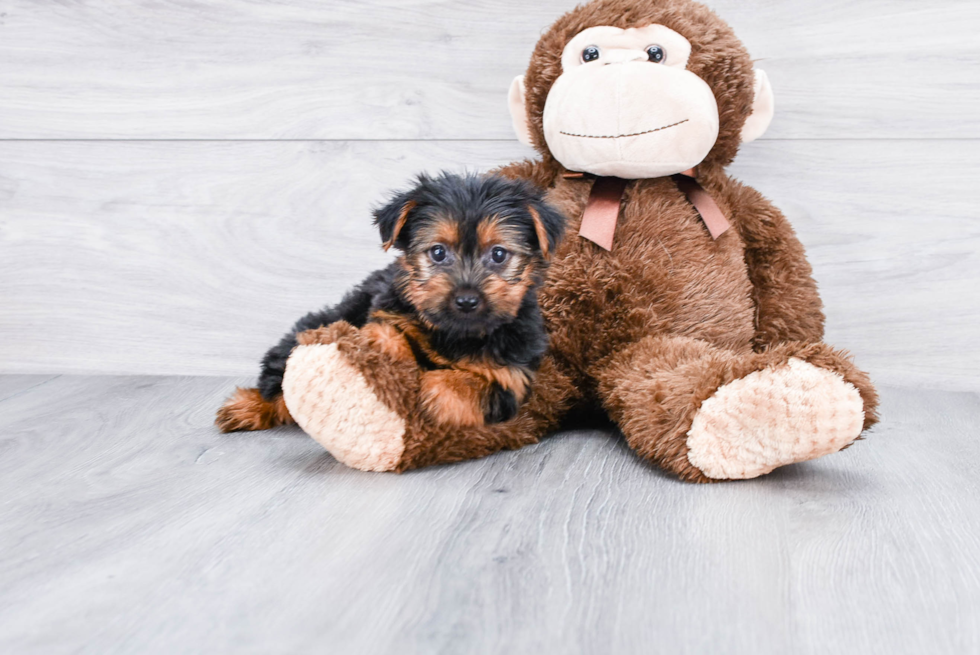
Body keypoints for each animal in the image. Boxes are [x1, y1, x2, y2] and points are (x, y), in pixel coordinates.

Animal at [214, 172, 568, 434]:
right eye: (438, 252)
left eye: (498, 254)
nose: (466, 300)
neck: (455, 333)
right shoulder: (387, 308)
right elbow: (386, 329)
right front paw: (384, 350)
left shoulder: (512, 375)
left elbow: (477, 388)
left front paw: (433, 389)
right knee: (282, 373)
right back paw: (249, 406)